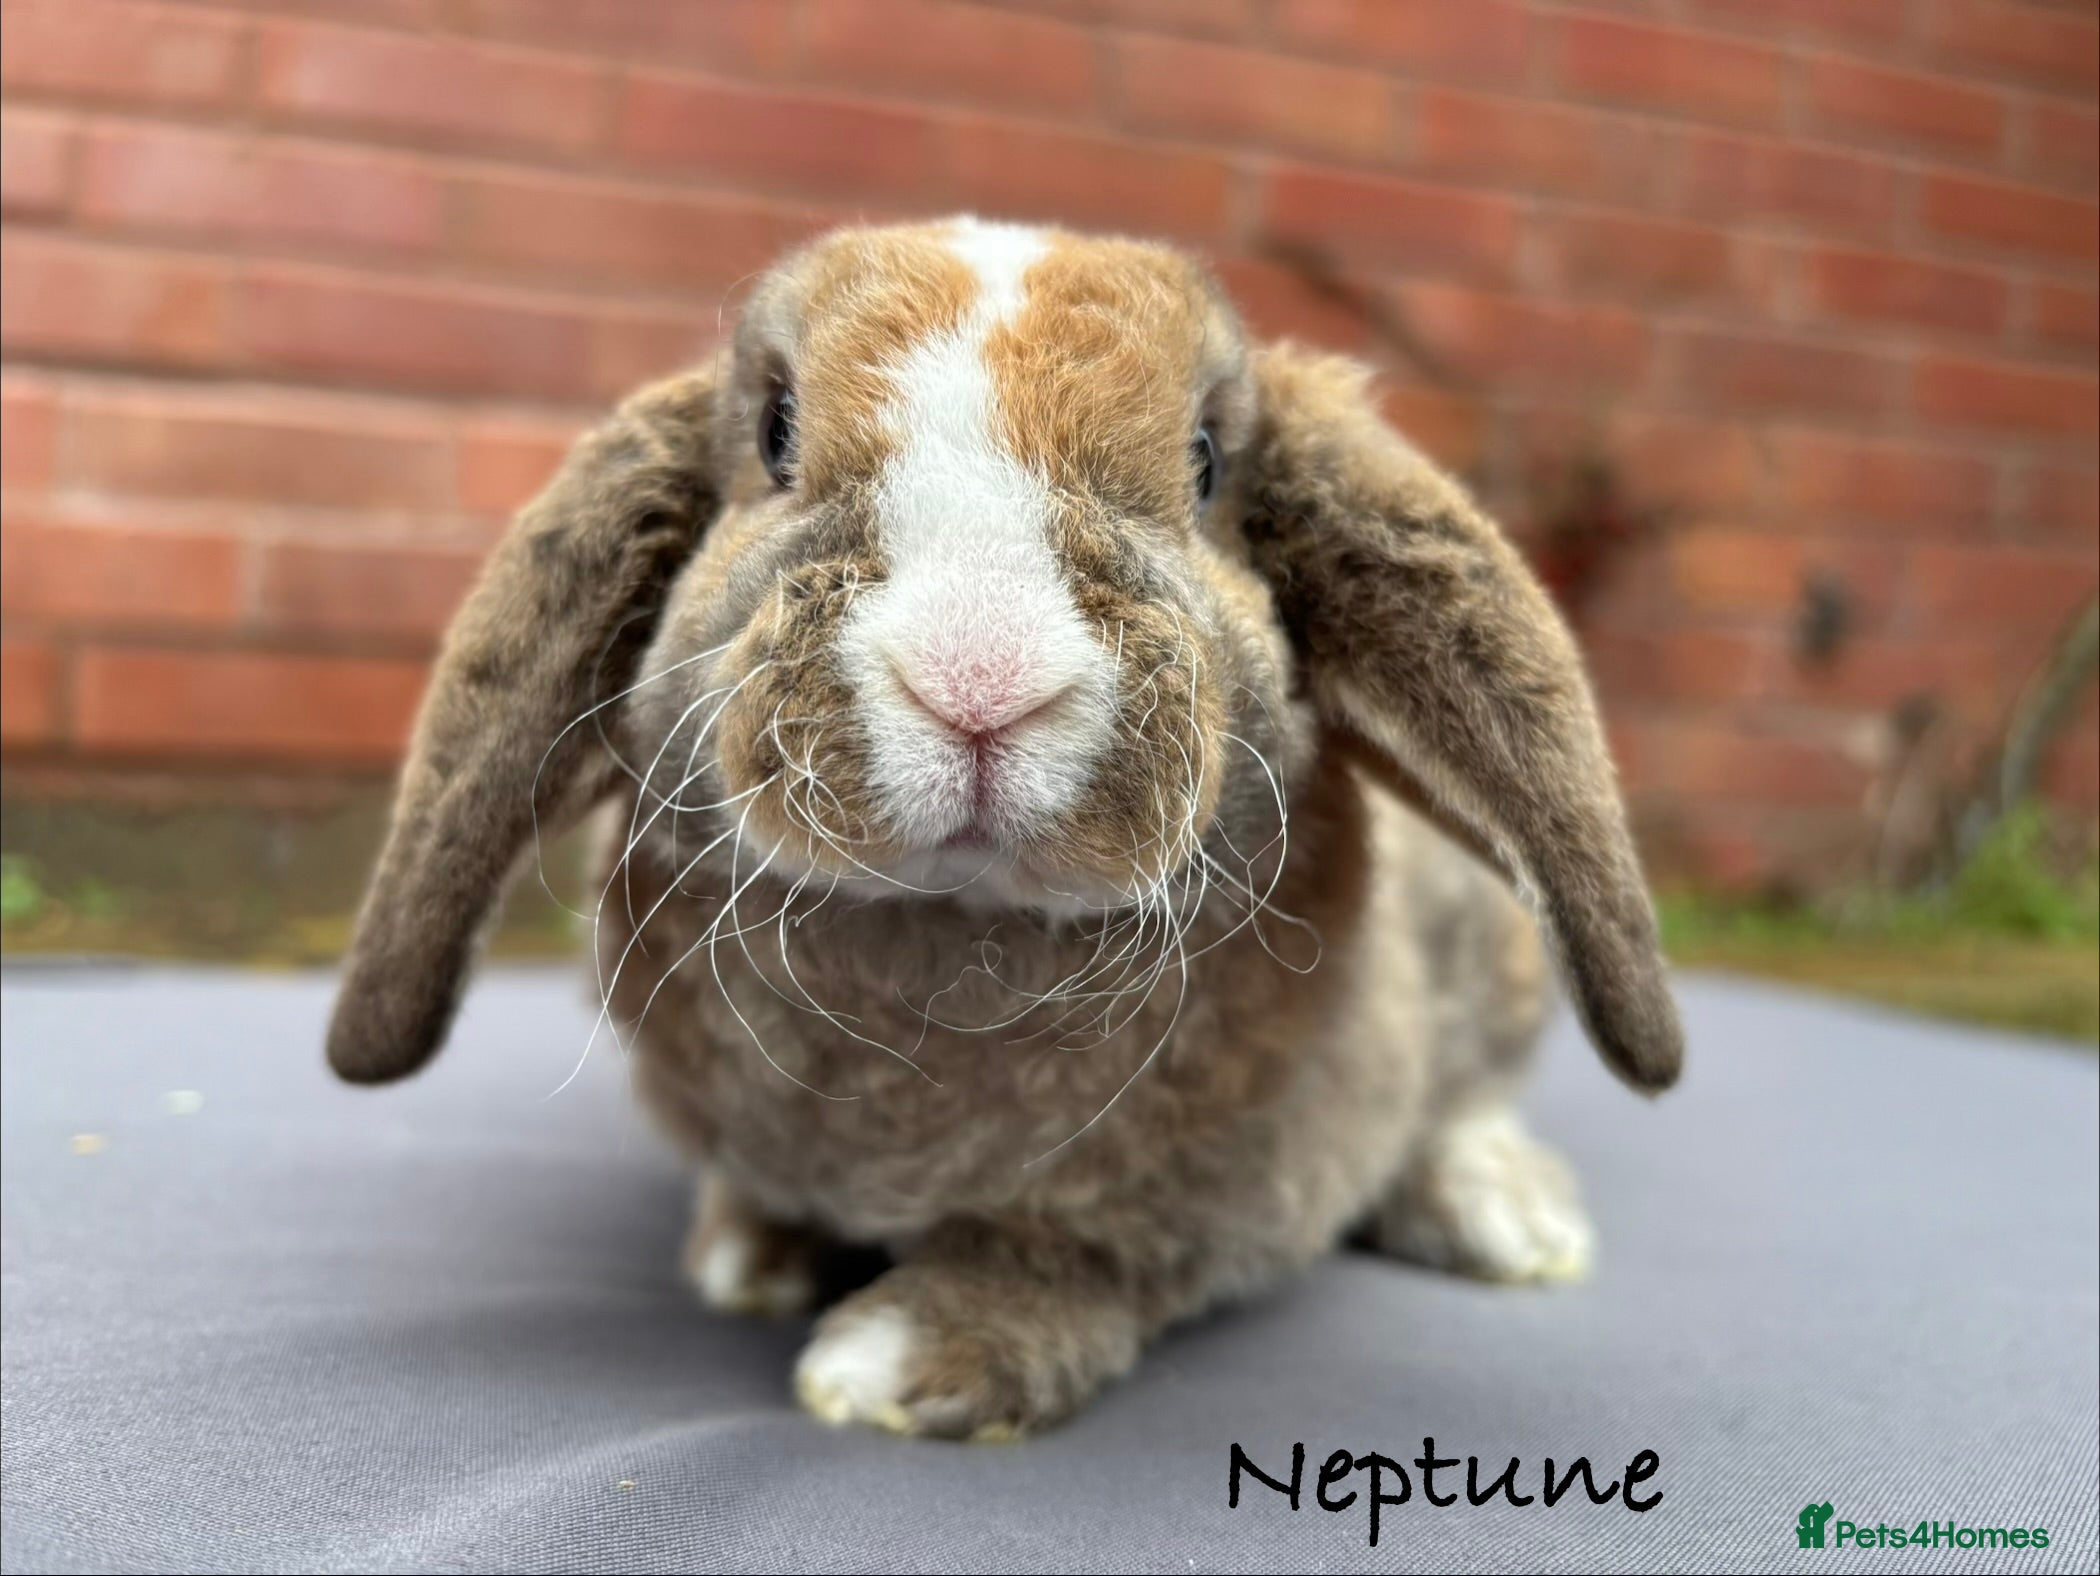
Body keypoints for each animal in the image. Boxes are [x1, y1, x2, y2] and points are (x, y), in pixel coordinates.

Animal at [326, 216, 1683, 1442]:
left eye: (1204, 461)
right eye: (774, 432)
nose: (978, 676)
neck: (951, 943)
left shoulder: (1202, 1201)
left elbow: (1087, 1258)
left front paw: (902, 1356)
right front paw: (747, 1256)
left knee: (1467, 1103)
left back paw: (1508, 1219)